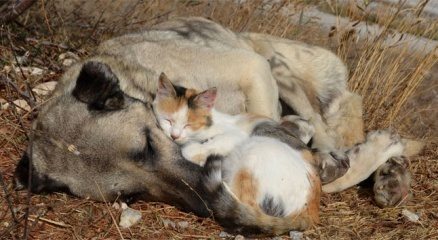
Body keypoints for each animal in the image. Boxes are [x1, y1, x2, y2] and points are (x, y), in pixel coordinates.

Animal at [154, 72, 322, 232]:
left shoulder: (236, 135)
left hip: (253, 151)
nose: (174, 136)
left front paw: (195, 151)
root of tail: (310, 210)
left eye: (188, 125)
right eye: (168, 120)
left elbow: (201, 146)